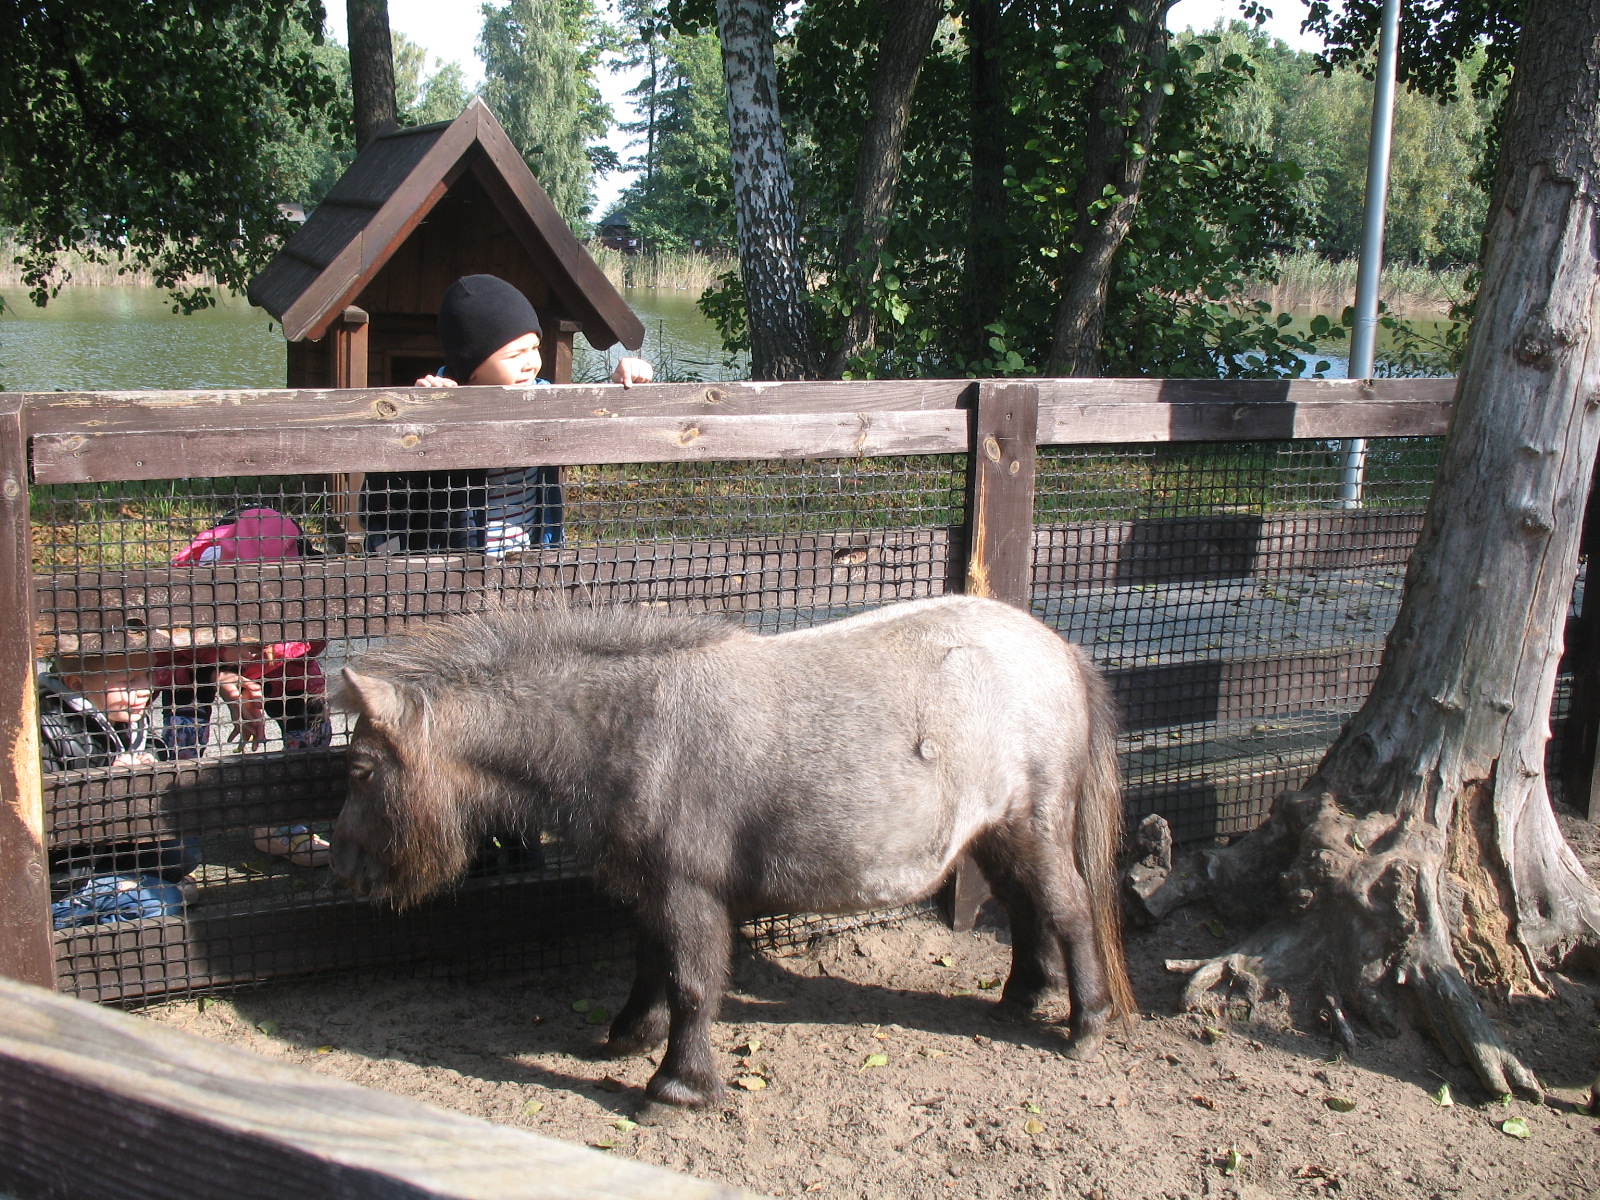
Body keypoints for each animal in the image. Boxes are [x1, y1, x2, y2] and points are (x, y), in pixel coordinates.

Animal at [330, 595, 1136, 1108]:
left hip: (1033, 826)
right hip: (997, 835)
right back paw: (1022, 998)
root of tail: (1064, 650)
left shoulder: (688, 890)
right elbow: (650, 963)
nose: (343, 866)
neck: (631, 729)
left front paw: (679, 1086)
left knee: (1067, 909)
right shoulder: (652, 887)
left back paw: (1086, 1024)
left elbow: (691, 982)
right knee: (1027, 910)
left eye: (360, 769)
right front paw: (631, 1035)